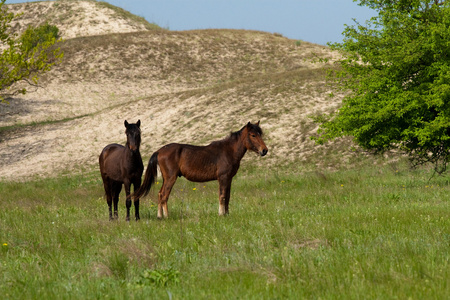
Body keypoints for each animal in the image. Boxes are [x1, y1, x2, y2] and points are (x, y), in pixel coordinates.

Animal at [134, 120, 268, 219]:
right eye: (253, 135)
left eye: (260, 134)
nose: (264, 150)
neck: (229, 151)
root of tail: (159, 151)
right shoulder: (223, 178)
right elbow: (222, 196)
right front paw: (221, 214)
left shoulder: (229, 179)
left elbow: (227, 196)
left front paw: (227, 214)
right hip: (170, 178)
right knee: (164, 195)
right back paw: (166, 216)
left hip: (166, 178)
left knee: (160, 194)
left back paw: (160, 216)